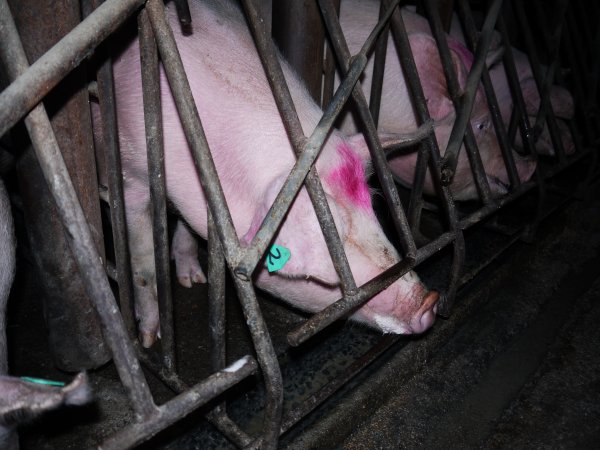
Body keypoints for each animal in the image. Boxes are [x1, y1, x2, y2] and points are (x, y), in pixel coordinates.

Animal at [105, 0, 438, 348]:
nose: (428, 302)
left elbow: (185, 227)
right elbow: (143, 262)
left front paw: (193, 280)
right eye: (336, 231)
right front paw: (148, 339)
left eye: (371, 209)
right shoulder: (131, 174)